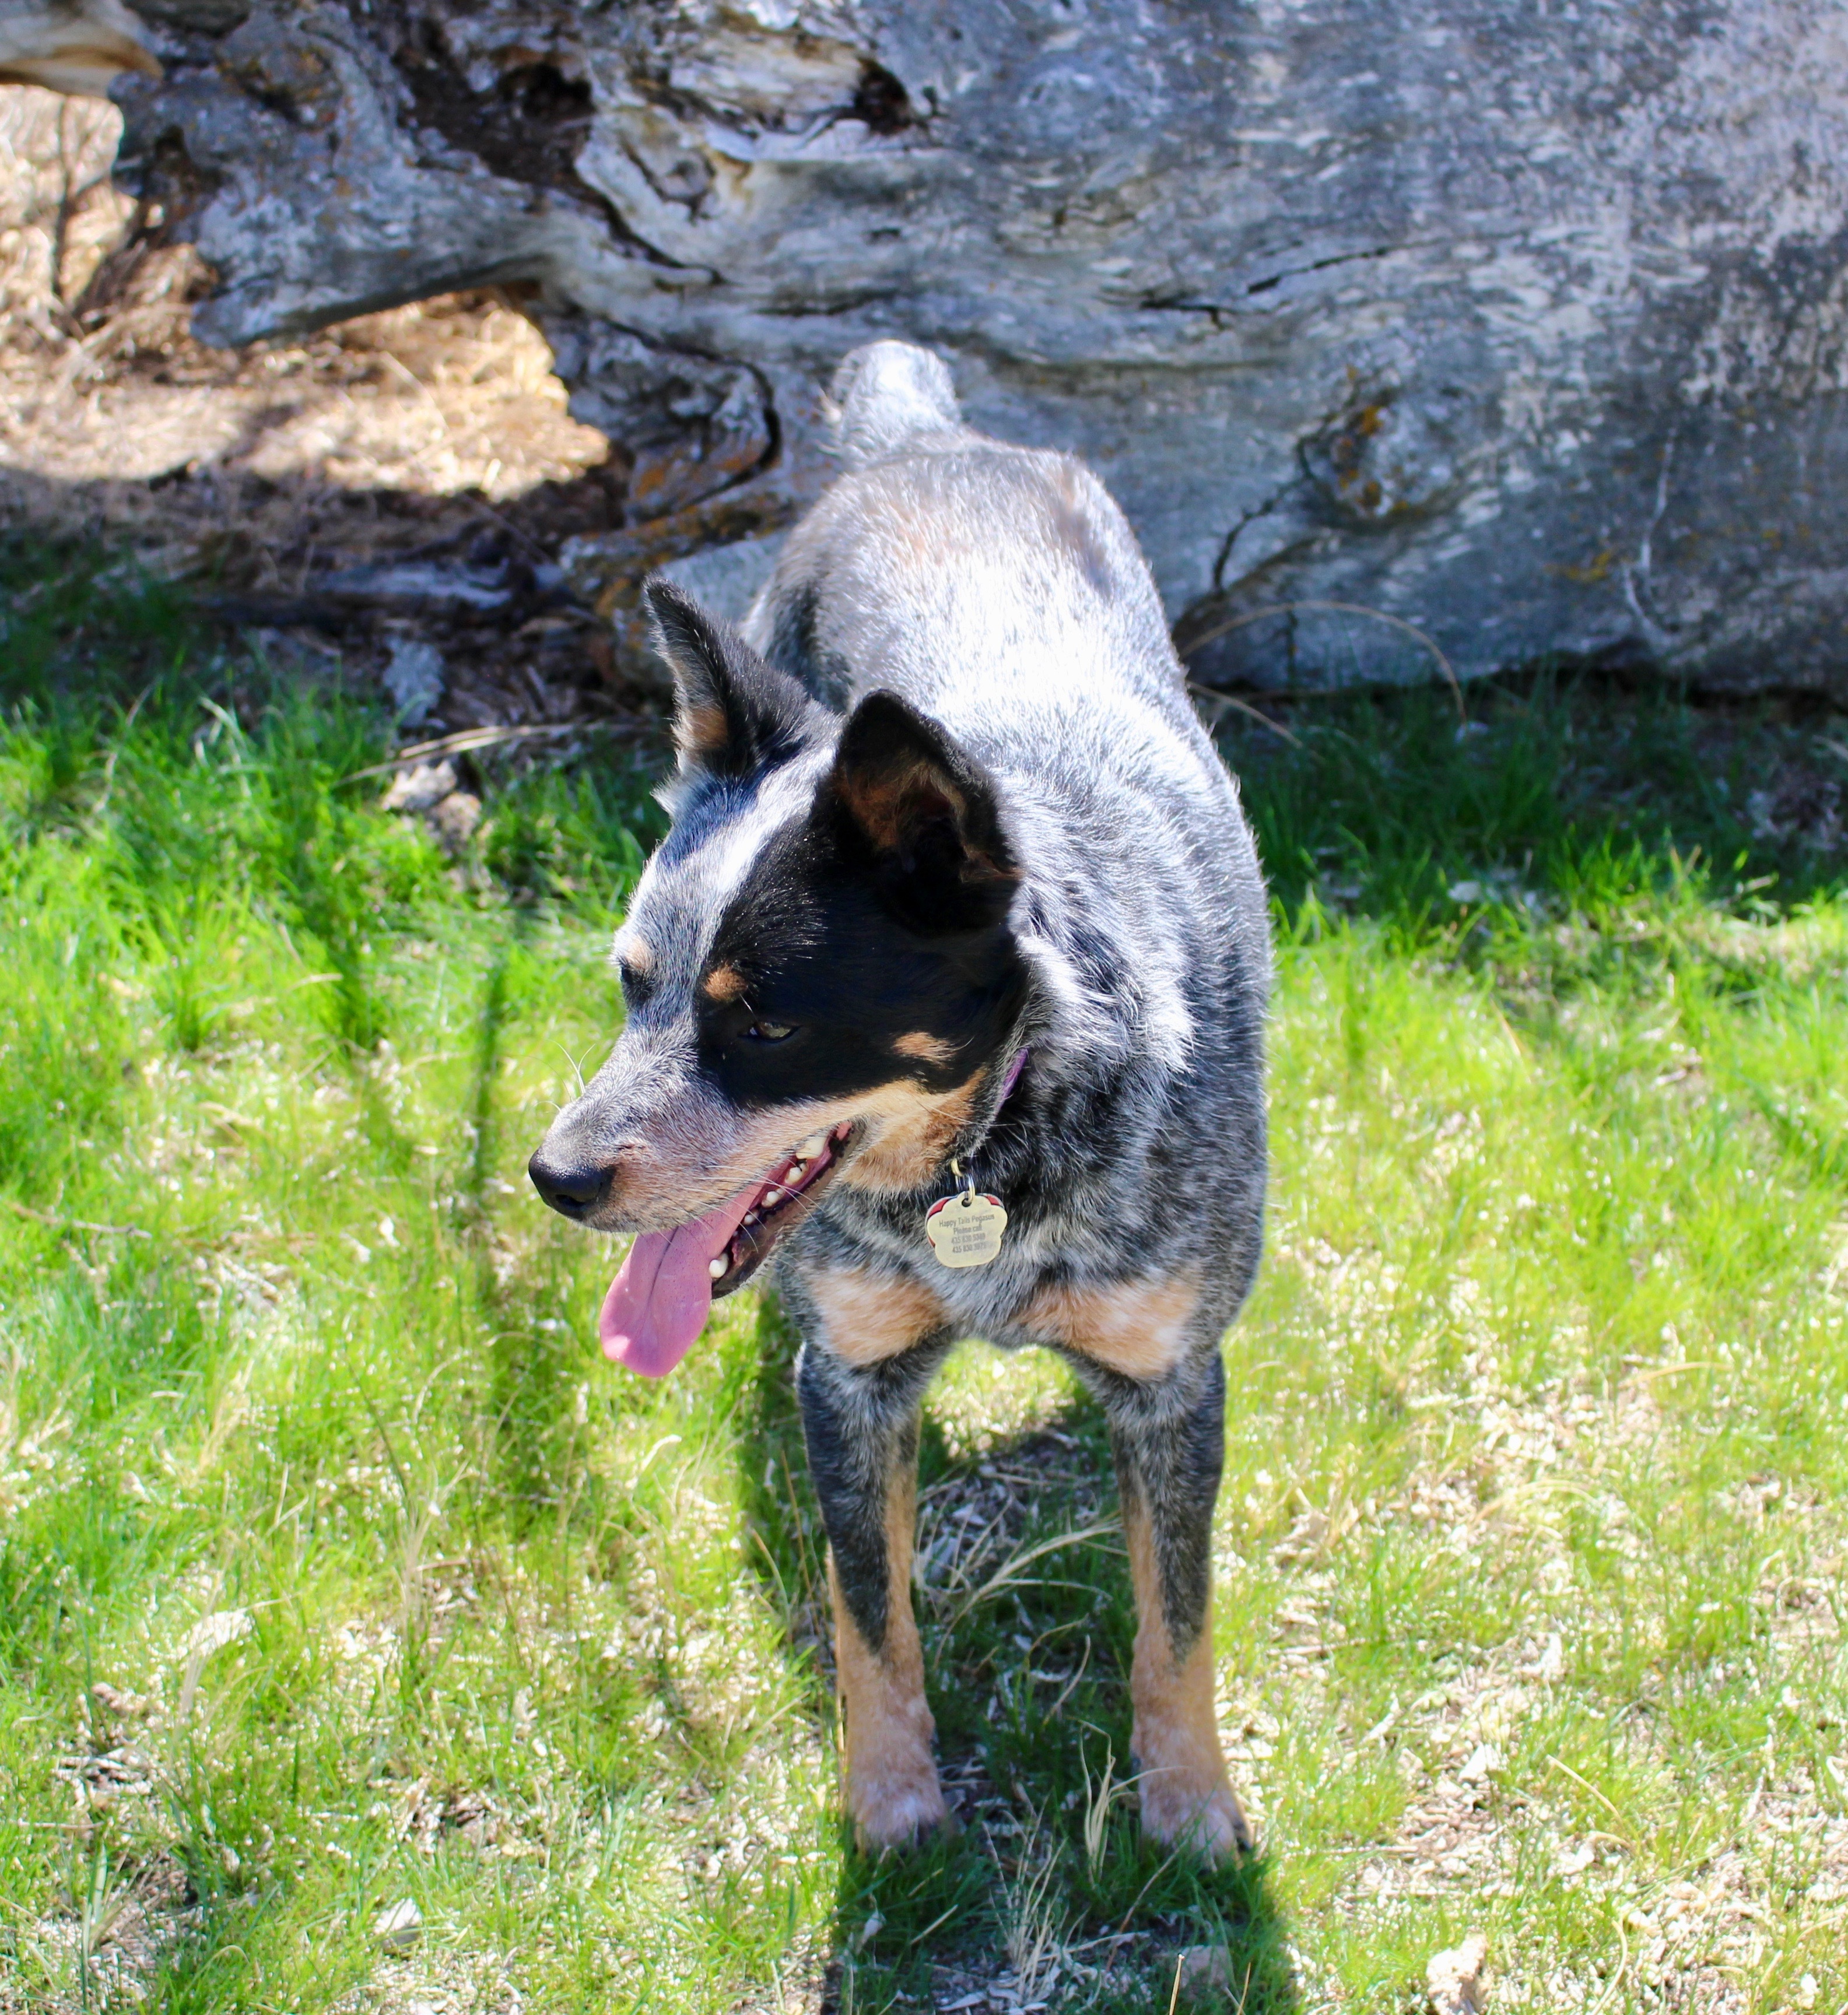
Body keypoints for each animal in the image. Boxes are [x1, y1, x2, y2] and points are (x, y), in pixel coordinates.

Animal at [528, 334, 1265, 1853]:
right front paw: (890, 1807)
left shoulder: (1173, 1378)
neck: (995, 1145)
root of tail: (921, 441)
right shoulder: (855, 1382)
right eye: (631, 980)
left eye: (763, 1023)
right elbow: (870, 1619)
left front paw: (1188, 1806)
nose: (554, 1176)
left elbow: (1176, 1619)